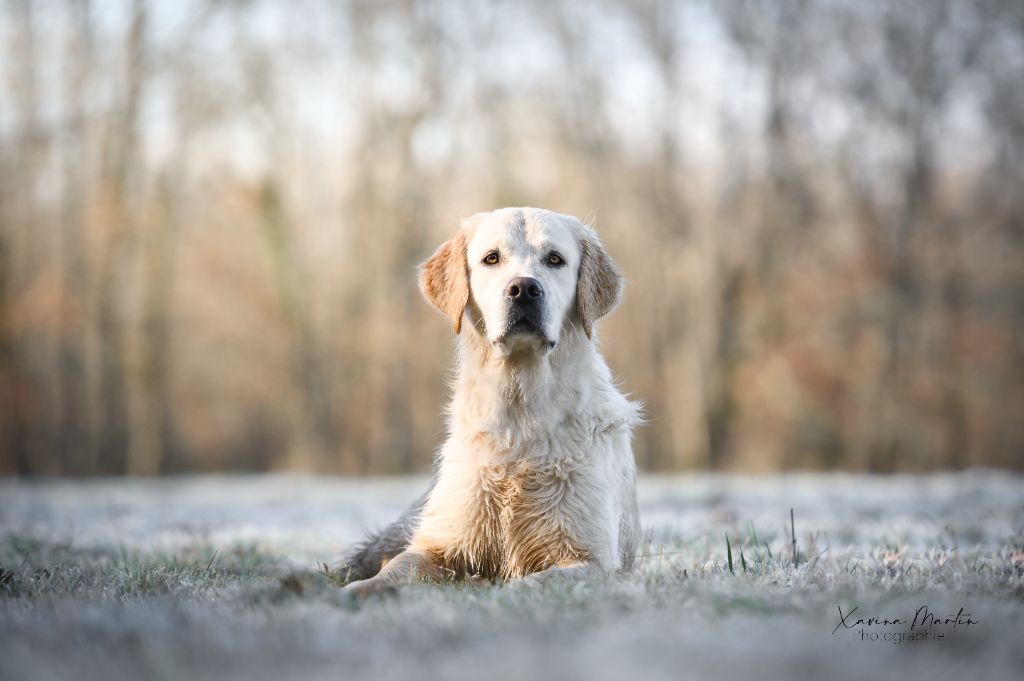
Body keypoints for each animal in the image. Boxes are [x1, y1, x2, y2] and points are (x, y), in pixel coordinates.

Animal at [342, 206, 638, 593]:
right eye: (491, 258)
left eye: (555, 259)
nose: (524, 288)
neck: (518, 409)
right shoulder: (438, 543)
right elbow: (397, 567)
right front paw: (358, 591)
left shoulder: (591, 559)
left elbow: (528, 584)